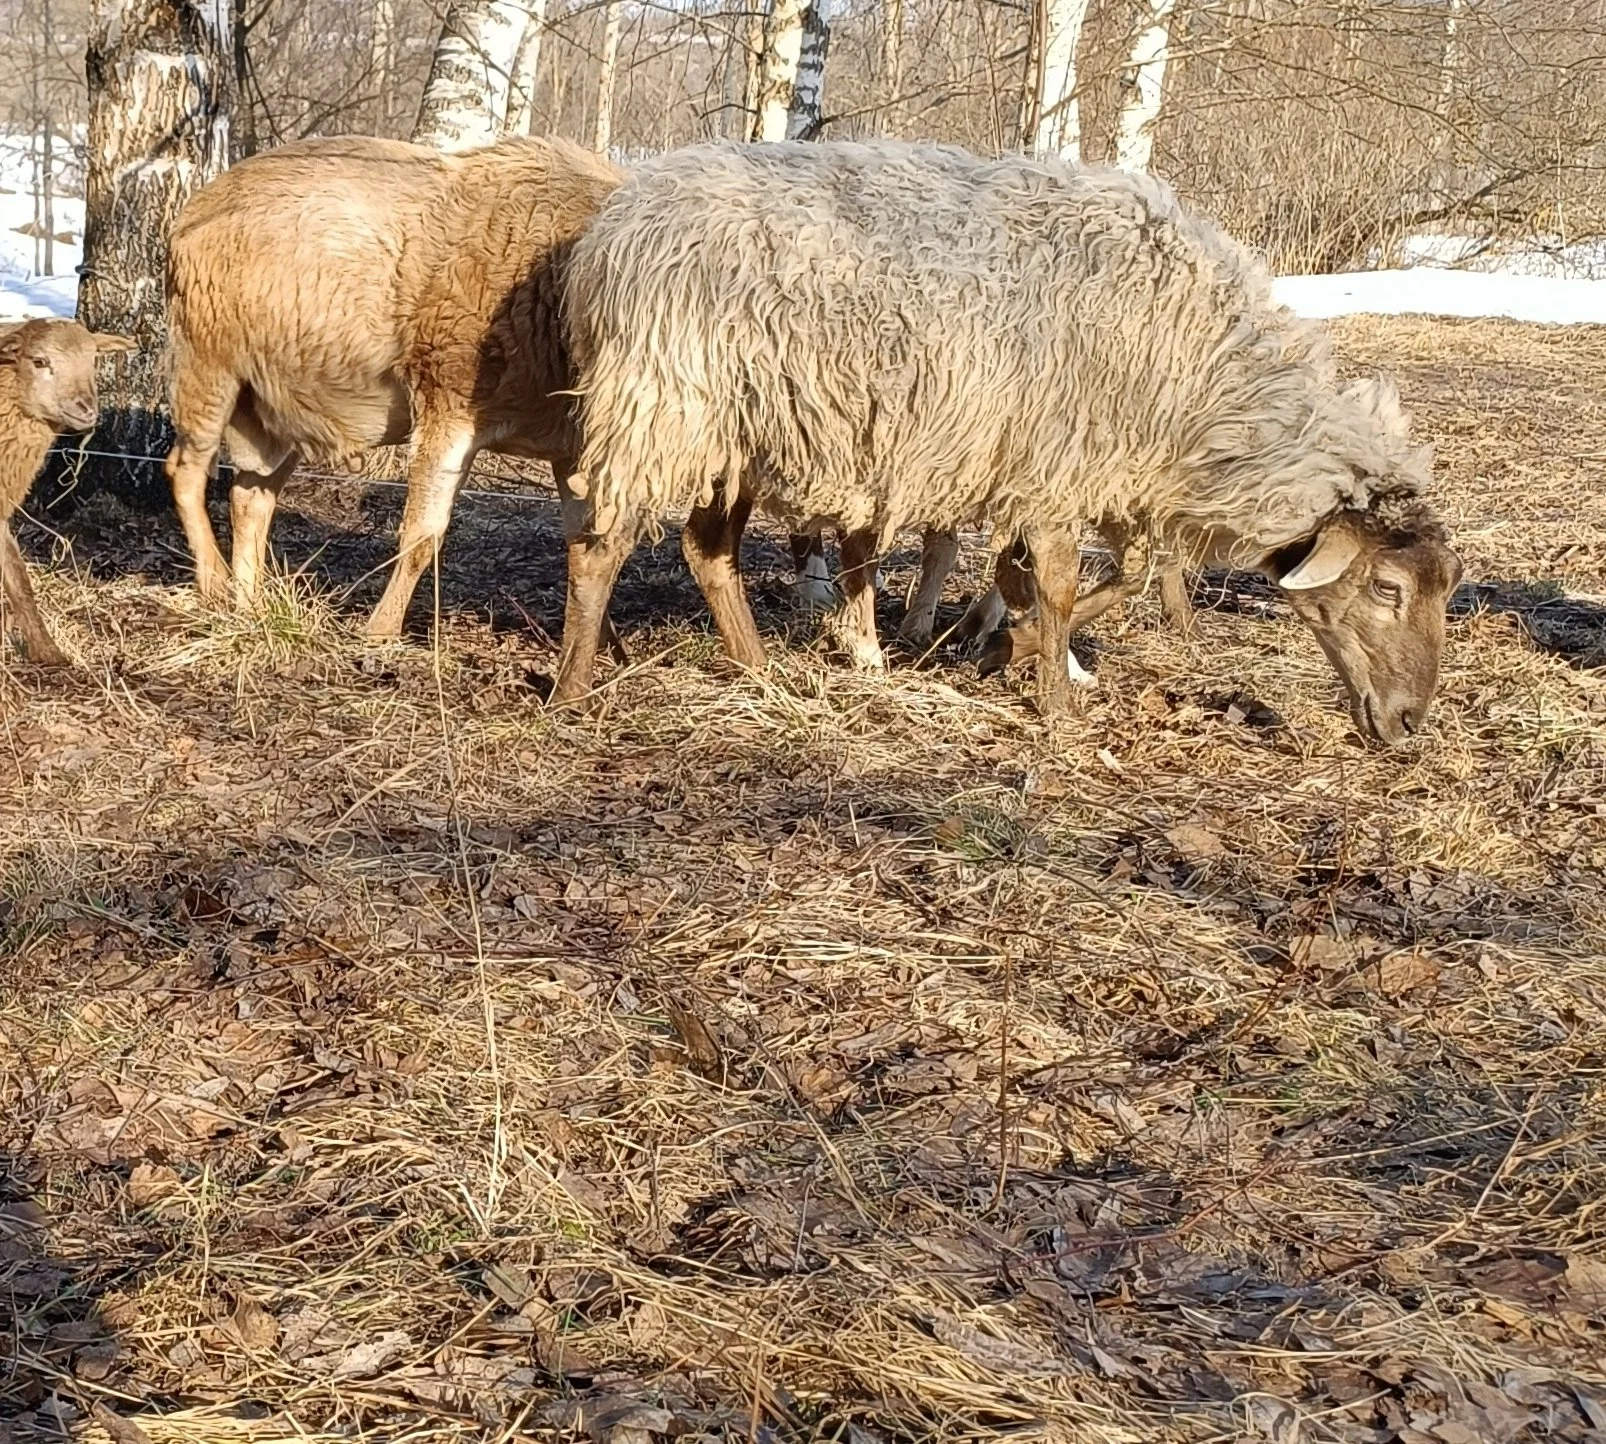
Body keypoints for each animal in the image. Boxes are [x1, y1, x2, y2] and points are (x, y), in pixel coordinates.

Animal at [164, 134, 625, 642]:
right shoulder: (446, 409)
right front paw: (380, 630)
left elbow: (589, 545)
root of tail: (193, 210)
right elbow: (422, 534)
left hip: (274, 410)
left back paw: (251, 606)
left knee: (251, 496)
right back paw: (213, 582)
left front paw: (600, 641)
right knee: (185, 471)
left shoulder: (572, 448)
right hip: (209, 367)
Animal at [554, 140, 1462, 743]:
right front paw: (1052, 697)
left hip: (744, 432)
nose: (1411, 723)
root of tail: (619, 223)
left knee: (708, 550)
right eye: (1387, 589)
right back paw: (571, 689)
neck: (1207, 380)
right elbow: (1060, 584)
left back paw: (755, 668)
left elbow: (1118, 576)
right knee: (602, 546)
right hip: (664, 405)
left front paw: (1003, 644)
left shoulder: (1096, 474)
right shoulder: (1059, 462)